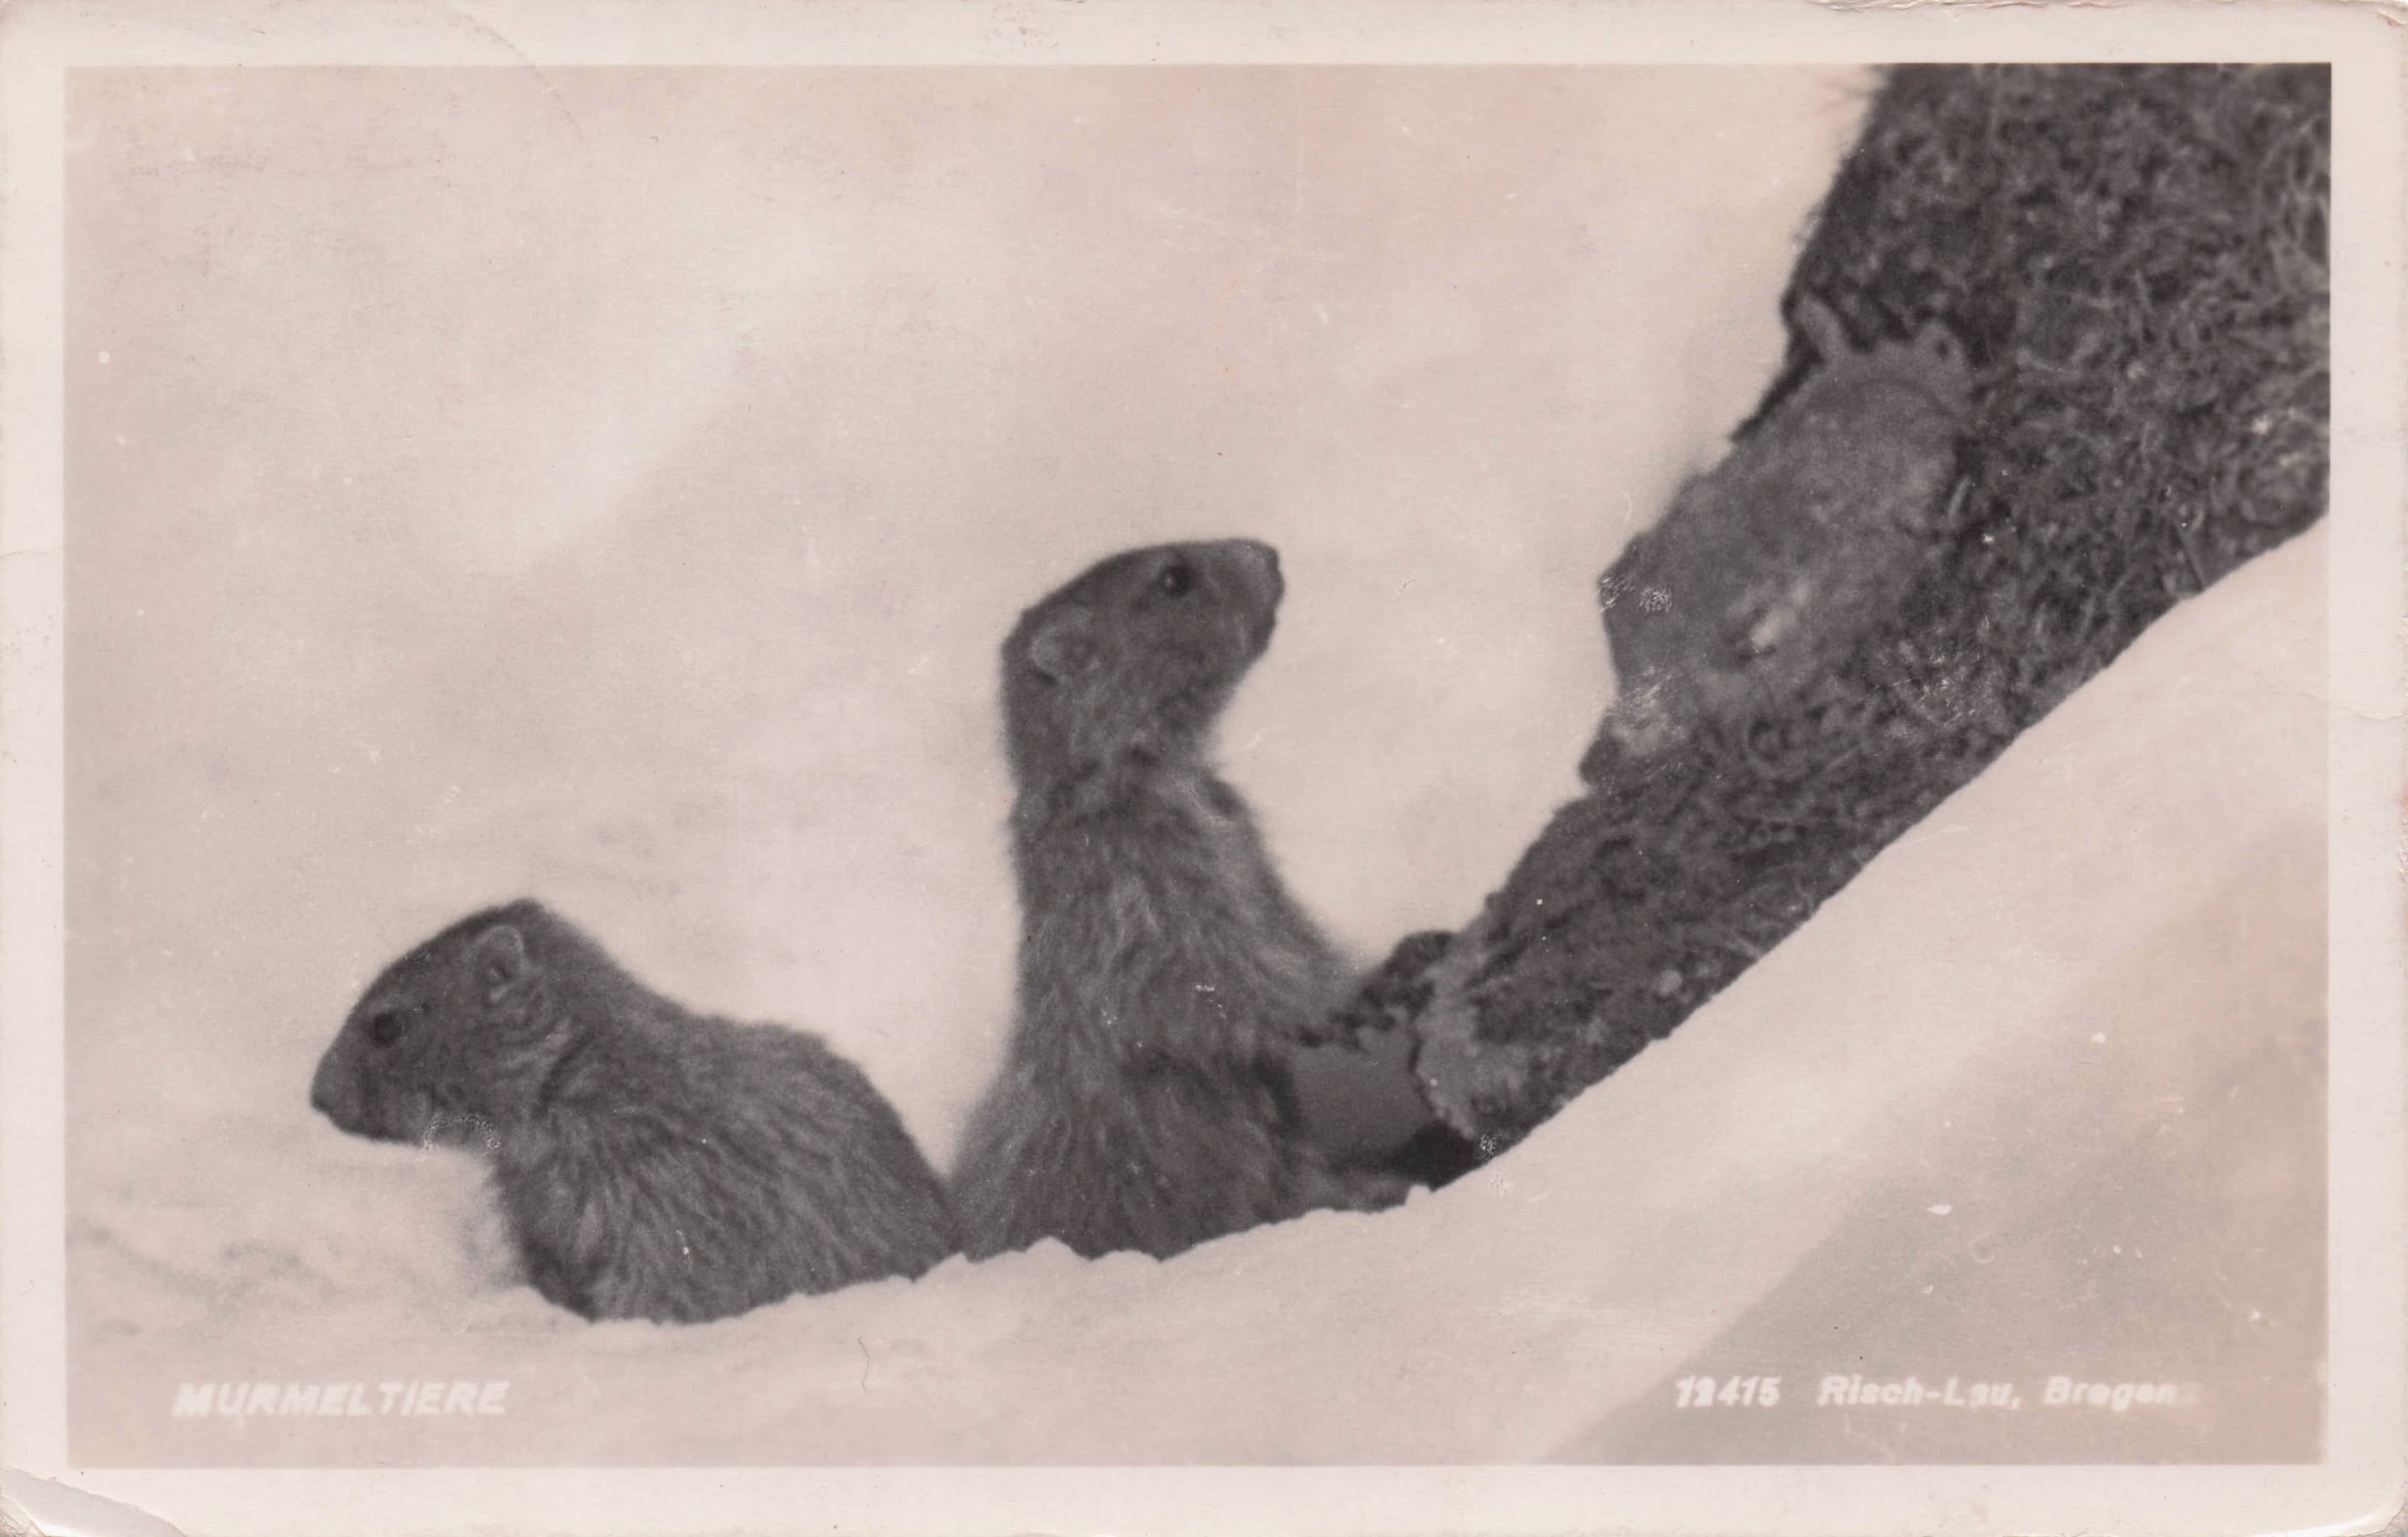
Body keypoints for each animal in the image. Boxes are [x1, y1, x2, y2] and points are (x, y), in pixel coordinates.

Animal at [309, 900, 959, 1323]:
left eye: (387, 1025)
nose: (315, 1095)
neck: (570, 1083)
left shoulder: (663, 1190)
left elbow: (665, 1285)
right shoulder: (537, 1209)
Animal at [950, 538, 1410, 1262]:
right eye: (1174, 579)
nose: (1268, 552)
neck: (1151, 772)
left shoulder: (1239, 841)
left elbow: (1280, 925)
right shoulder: (1131, 871)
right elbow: (1199, 968)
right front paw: (1340, 1001)